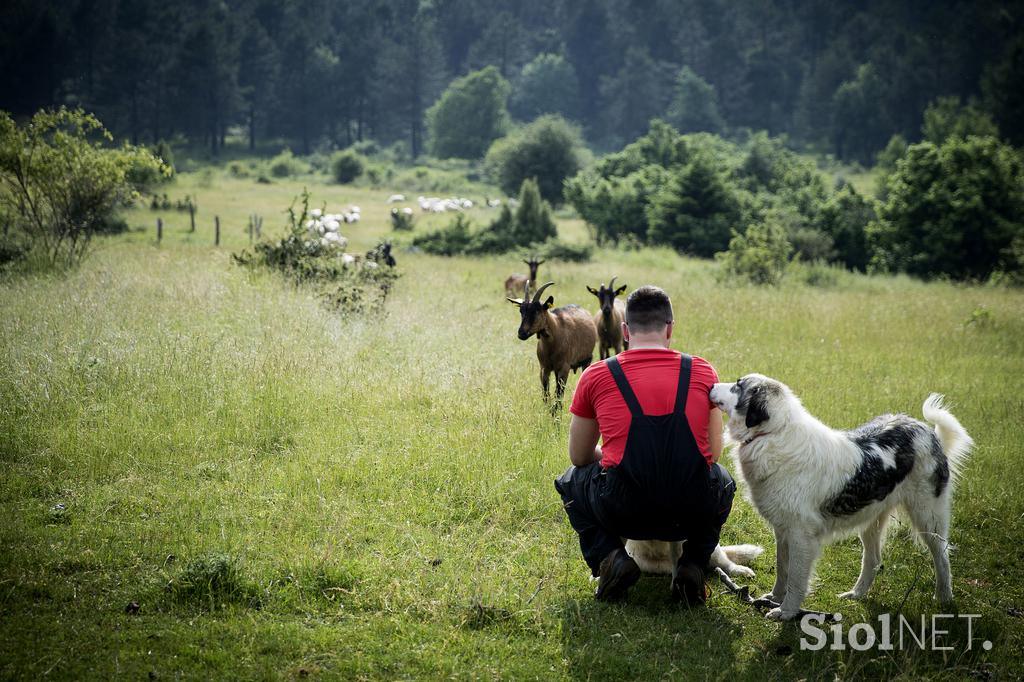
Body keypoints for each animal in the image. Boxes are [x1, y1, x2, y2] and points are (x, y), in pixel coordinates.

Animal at [708, 376, 970, 622]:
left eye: (738, 385)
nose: (710, 385)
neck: (774, 433)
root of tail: (924, 428)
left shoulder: (801, 535)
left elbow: (796, 578)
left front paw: (787, 611)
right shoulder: (783, 530)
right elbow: (782, 569)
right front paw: (774, 597)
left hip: (928, 517)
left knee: (942, 556)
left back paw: (944, 598)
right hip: (871, 519)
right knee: (873, 560)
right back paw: (856, 594)